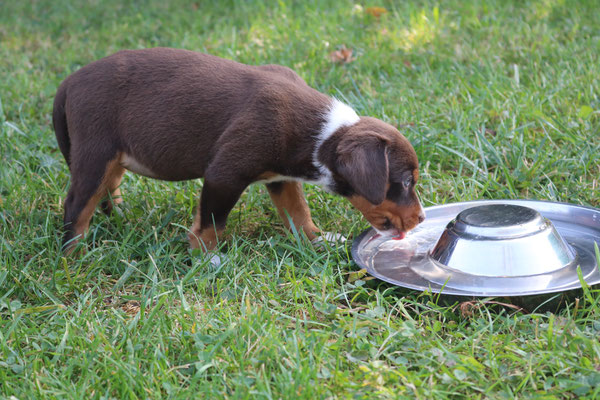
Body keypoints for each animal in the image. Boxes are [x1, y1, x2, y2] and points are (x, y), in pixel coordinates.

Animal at [54, 47, 424, 253]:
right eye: (406, 182)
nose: (421, 218)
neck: (322, 134)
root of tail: (69, 82)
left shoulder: (281, 177)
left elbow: (298, 211)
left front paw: (316, 239)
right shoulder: (224, 174)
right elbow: (211, 222)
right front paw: (207, 257)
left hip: (113, 157)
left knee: (108, 189)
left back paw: (118, 218)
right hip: (95, 152)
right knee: (77, 207)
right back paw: (74, 256)